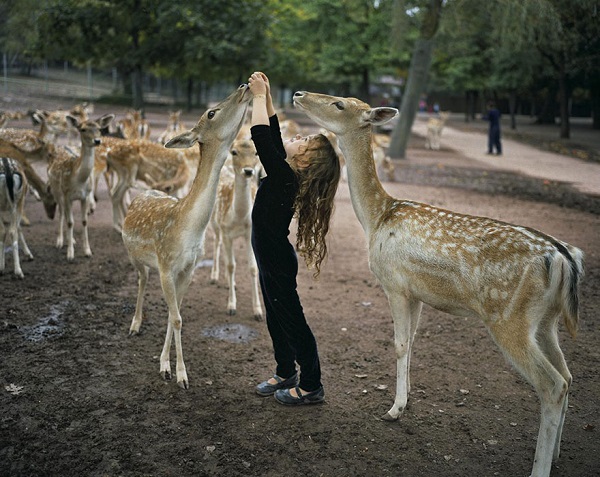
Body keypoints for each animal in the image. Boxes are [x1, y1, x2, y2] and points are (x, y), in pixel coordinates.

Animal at [47, 113, 114, 260]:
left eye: (99, 128)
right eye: (82, 129)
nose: (97, 141)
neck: (79, 180)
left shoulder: (85, 196)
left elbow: (83, 221)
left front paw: (88, 251)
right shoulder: (67, 194)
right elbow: (70, 222)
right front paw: (70, 254)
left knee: (66, 215)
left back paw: (71, 240)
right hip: (56, 190)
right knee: (62, 213)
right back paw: (60, 241)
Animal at [211, 139, 262, 322]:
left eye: (256, 152)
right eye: (234, 152)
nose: (248, 171)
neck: (239, 218)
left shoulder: (250, 233)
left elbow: (253, 267)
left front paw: (258, 311)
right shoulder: (226, 231)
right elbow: (231, 265)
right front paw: (231, 306)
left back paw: (229, 282)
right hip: (215, 223)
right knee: (217, 243)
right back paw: (214, 276)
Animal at [292, 90, 584, 476]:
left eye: (340, 104)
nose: (298, 94)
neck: (376, 217)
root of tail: (565, 259)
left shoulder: (394, 283)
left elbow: (399, 344)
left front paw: (393, 410)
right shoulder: (416, 292)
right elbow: (412, 343)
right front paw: (406, 401)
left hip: (510, 318)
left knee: (551, 384)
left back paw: (539, 466)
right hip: (546, 321)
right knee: (567, 375)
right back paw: (559, 453)